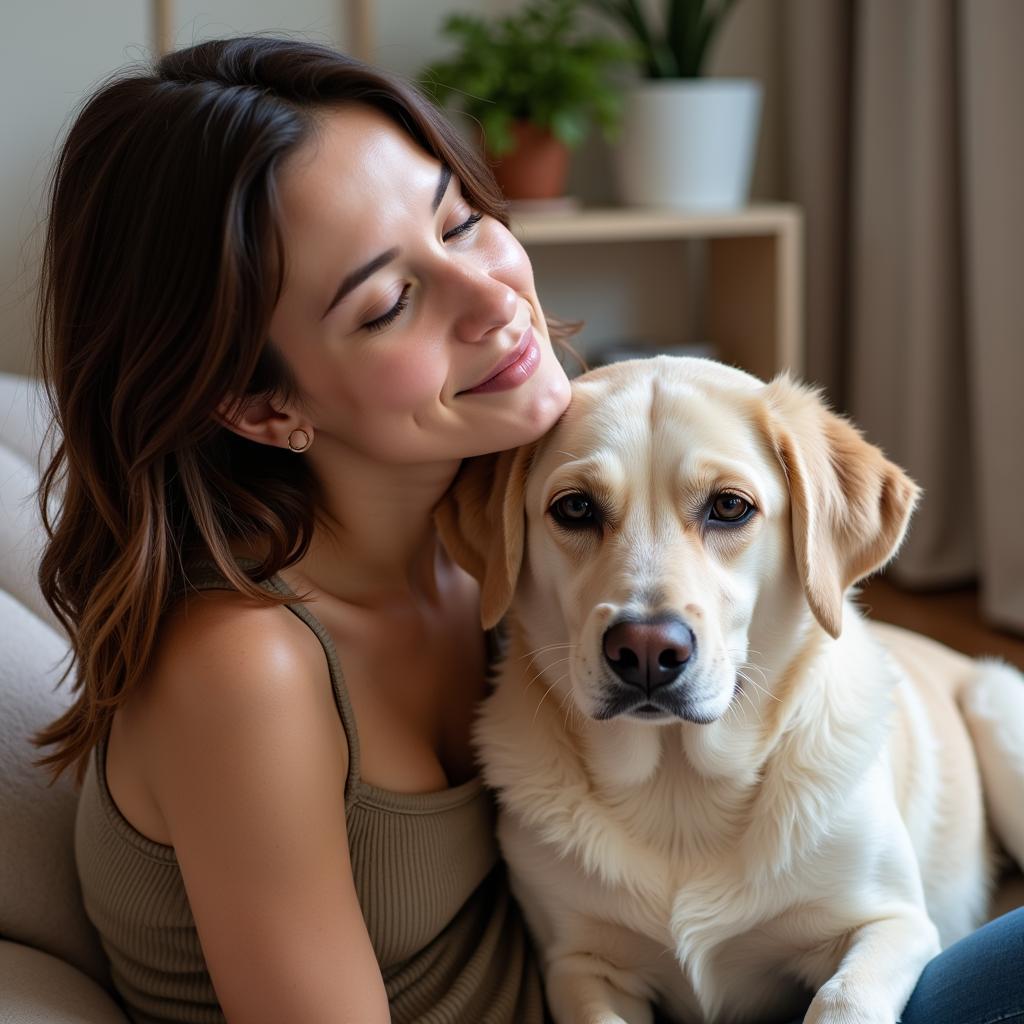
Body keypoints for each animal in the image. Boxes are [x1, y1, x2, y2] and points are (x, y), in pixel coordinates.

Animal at [434, 358, 1024, 1024]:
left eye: (729, 507)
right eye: (576, 507)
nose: (645, 650)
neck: (678, 790)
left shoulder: (892, 923)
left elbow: (841, 999)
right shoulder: (579, 963)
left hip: (996, 707)